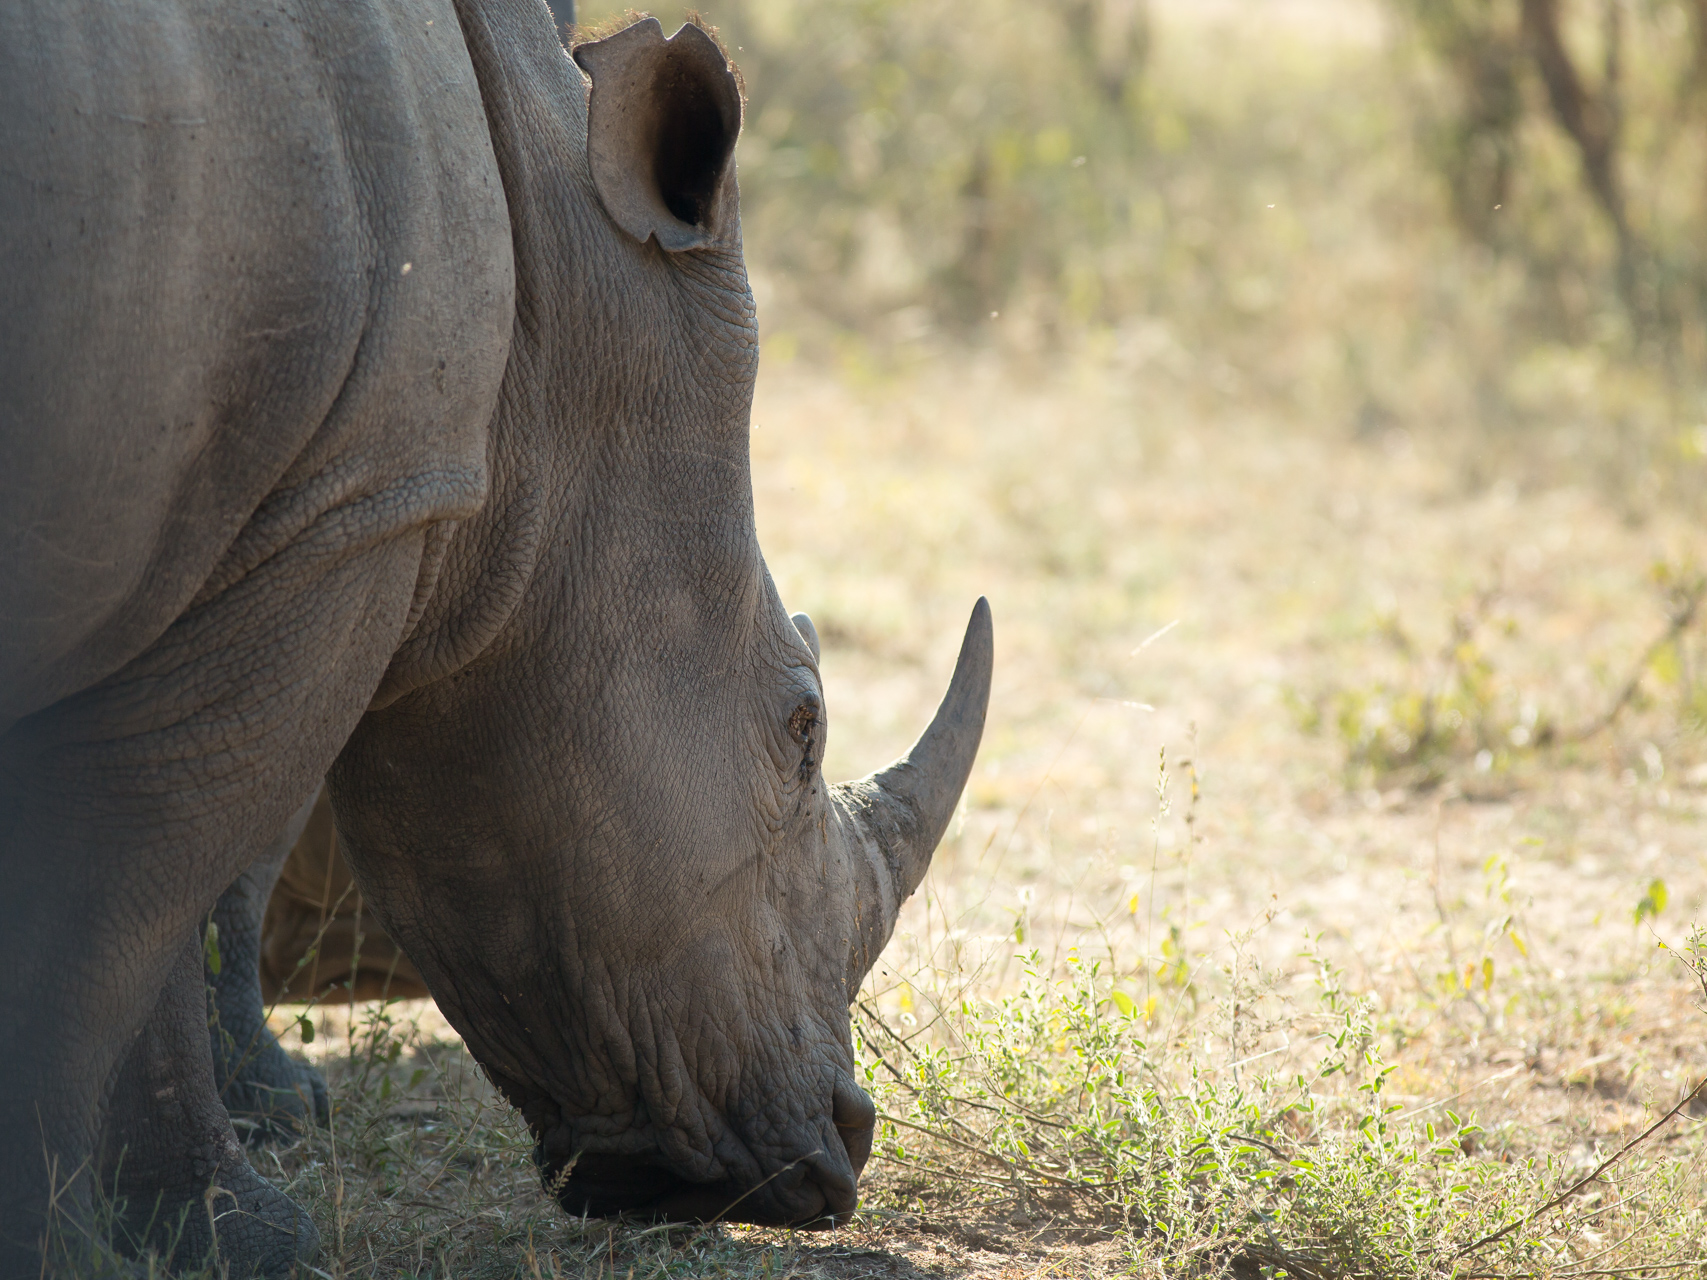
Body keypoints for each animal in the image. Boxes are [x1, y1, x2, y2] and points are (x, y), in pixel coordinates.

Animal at [0, 1, 993, 1275]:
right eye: (801, 726)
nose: (847, 1142)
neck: (552, 309)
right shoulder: (337, 515)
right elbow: (112, 920)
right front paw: (108, 1243)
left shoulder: (278, 525)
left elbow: (149, 918)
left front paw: (218, 1227)